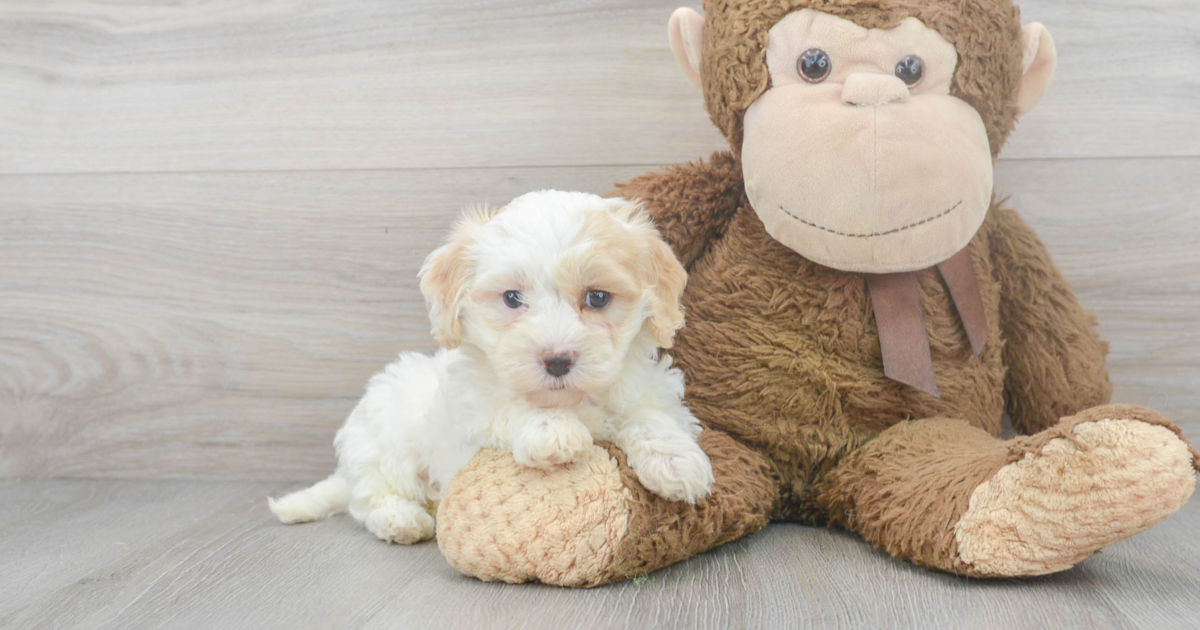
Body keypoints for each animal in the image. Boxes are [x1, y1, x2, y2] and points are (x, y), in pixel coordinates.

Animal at [270, 188, 710, 540]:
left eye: (598, 298)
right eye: (512, 298)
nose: (557, 360)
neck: (569, 401)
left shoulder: (649, 392)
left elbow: (648, 416)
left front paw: (677, 462)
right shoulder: (470, 411)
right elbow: (507, 407)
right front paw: (551, 431)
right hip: (387, 437)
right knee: (369, 498)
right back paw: (400, 519)